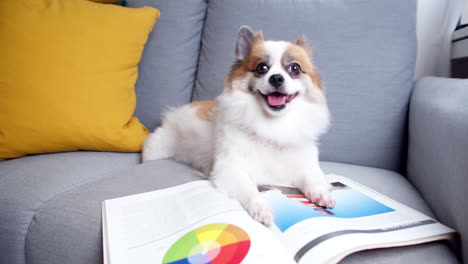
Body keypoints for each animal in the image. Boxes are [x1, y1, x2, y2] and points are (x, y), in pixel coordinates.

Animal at [141, 25, 334, 226]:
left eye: (295, 68)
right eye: (262, 68)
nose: (276, 78)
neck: (273, 125)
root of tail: (173, 113)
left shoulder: (304, 166)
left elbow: (313, 179)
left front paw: (321, 193)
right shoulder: (230, 170)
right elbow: (250, 189)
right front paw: (261, 208)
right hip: (157, 150)